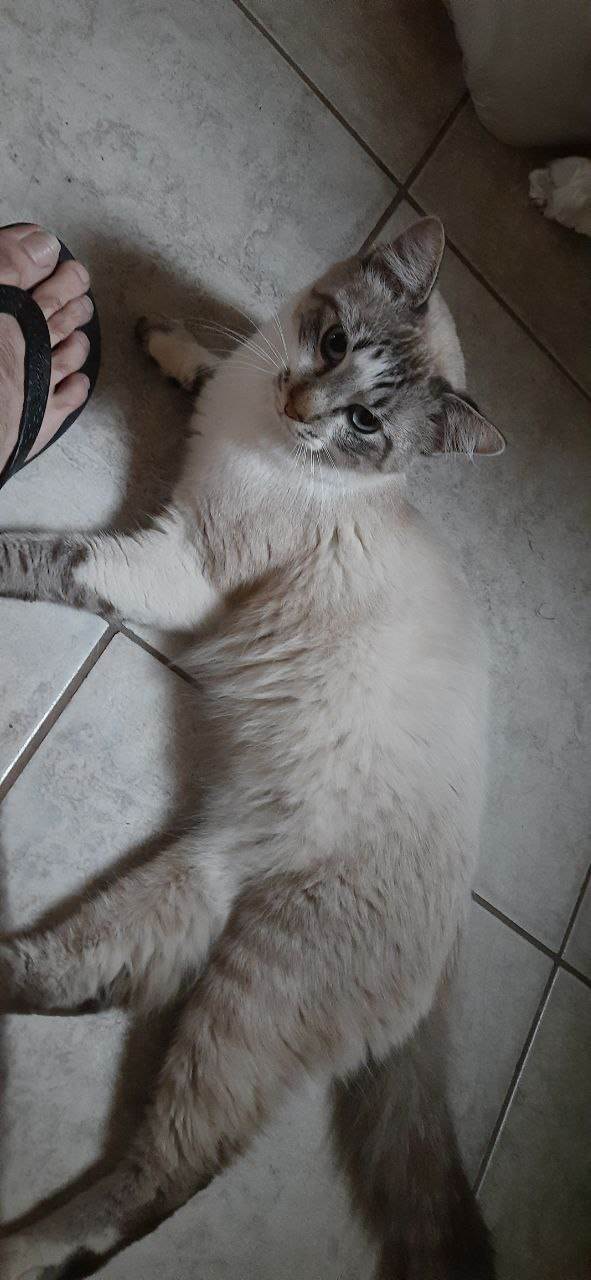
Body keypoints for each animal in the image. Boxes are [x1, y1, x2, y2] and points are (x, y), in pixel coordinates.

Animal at [0, 217, 504, 1280]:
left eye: (367, 424)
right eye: (331, 343)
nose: (302, 403)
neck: (265, 428)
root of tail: (446, 968)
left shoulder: (174, 569)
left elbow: (43, 553)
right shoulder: (239, 381)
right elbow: (208, 354)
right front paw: (162, 339)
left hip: (250, 995)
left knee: (159, 1182)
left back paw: (19, 1250)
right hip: (191, 888)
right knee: (90, 983)